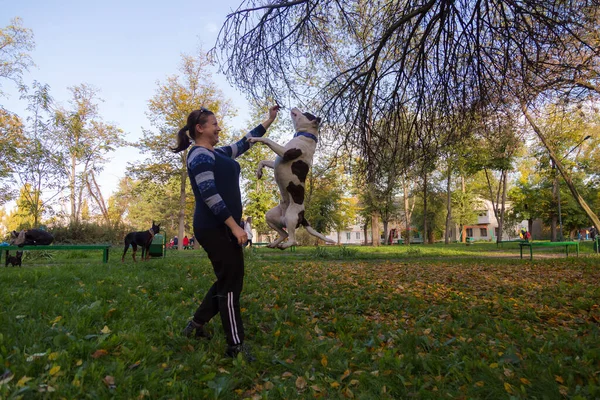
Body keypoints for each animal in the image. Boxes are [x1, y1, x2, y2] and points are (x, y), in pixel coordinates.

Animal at [246, 108, 336, 248]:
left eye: (305, 114)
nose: (294, 107)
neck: (305, 135)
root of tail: (303, 216)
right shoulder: (277, 160)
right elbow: (263, 161)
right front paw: (259, 172)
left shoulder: (285, 153)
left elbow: (267, 139)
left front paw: (254, 138)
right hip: (270, 217)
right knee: (284, 233)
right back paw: (274, 244)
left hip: (291, 217)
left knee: (293, 239)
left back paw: (285, 245)